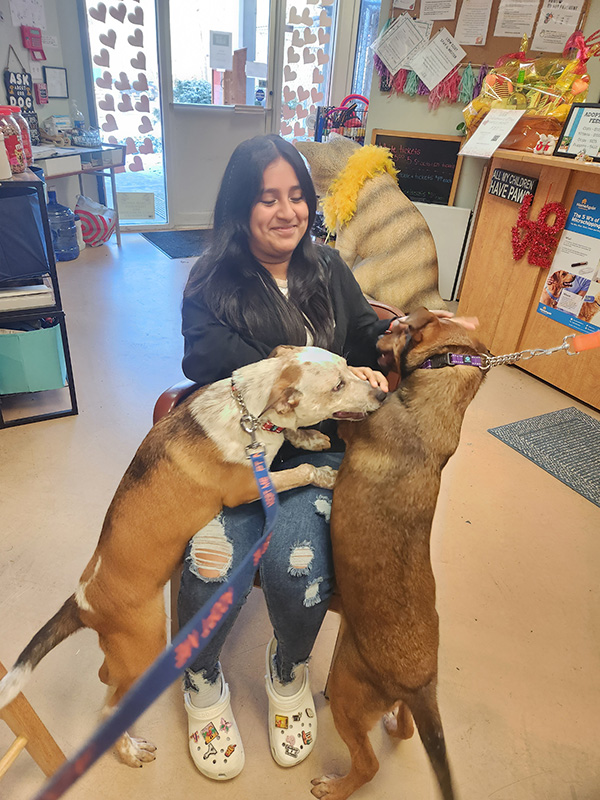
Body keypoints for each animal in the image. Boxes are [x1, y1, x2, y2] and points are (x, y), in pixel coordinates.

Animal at [0, 346, 384, 768]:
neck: (249, 412)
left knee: (106, 676)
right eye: (338, 386)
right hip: (144, 644)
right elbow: (300, 471)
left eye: (349, 367)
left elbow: (293, 439)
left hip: (124, 651)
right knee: (107, 709)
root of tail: (83, 601)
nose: (382, 394)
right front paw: (324, 474)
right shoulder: (246, 489)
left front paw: (309, 436)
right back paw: (129, 750)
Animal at [312, 310, 490, 800]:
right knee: (408, 728)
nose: (386, 325)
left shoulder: (352, 425)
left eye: (402, 327)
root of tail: (421, 685)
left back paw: (335, 786)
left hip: (347, 693)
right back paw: (396, 722)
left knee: (368, 764)